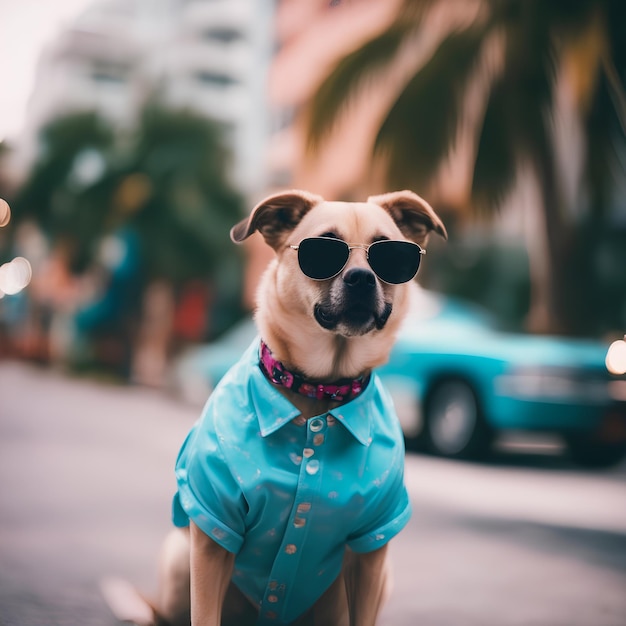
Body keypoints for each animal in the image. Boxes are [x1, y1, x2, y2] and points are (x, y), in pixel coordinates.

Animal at [102, 189, 444, 624]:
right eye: (323, 248)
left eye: (391, 254)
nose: (362, 278)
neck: (319, 389)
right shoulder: (212, 534)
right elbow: (204, 613)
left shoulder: (372, 552)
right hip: (179, 557)